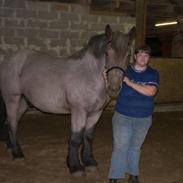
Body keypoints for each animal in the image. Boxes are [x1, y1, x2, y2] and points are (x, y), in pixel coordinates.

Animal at [0, 24, 134, 176]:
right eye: (107, 53)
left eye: (128, 55)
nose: (114, 87)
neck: (89, 75)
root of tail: (9, 59)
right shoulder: (79, 111)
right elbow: (76, 138)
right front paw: (75, 167)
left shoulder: (96, 113)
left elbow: (88, 137)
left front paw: (89, 162)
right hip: (12, 99)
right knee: (12, 124)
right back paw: (18, 154)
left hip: (23, 102)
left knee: (11, 122)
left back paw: (11, 147)